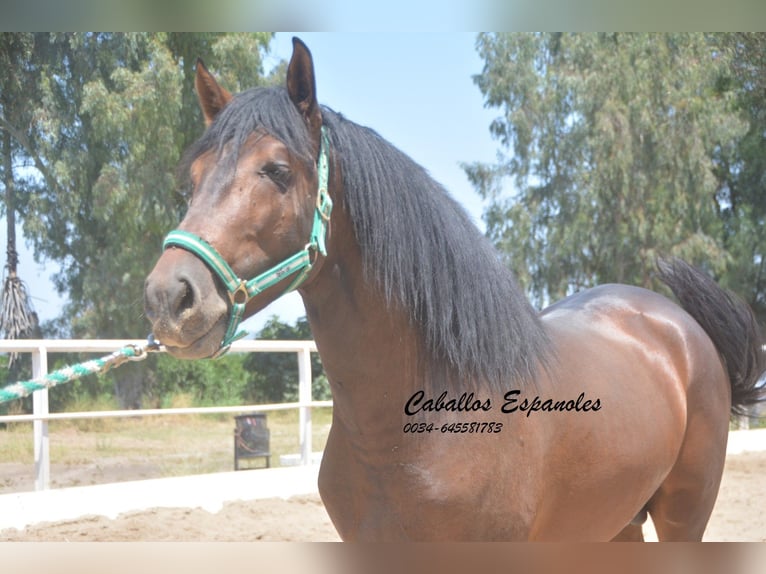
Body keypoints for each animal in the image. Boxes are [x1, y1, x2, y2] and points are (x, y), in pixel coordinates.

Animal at [146, 38, 766, 544]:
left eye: (276, 170)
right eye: (193, 179)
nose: (169, 298)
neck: (414, 433)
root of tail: (677, 324)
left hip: (684, 514)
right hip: (613, 521)